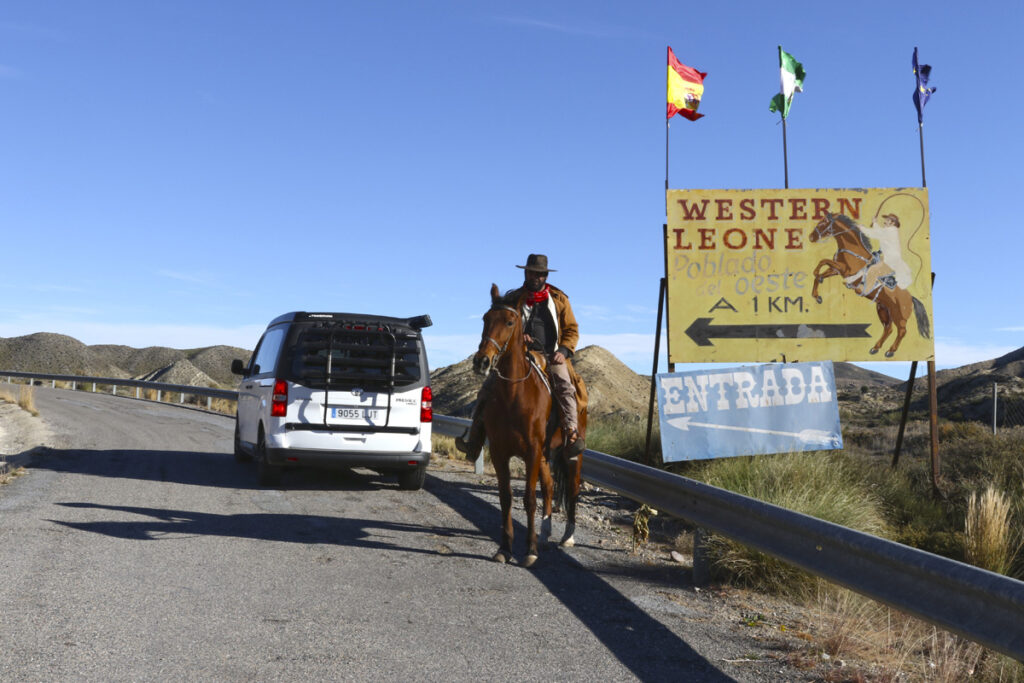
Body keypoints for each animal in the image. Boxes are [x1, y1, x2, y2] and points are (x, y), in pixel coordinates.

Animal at [811, 214, 933, 358]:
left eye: (823, 223)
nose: (811, 237)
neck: (853, 250)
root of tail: (911, 298)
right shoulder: (837, 270)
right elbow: (821, 271)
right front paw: (817, 295)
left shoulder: (845, 270)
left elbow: (822, 261)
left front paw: (816, 275)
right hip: (883, 310)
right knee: (888, 329)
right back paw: (875, 348)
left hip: (899, 316)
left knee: (902, 331)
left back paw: (891, 351)